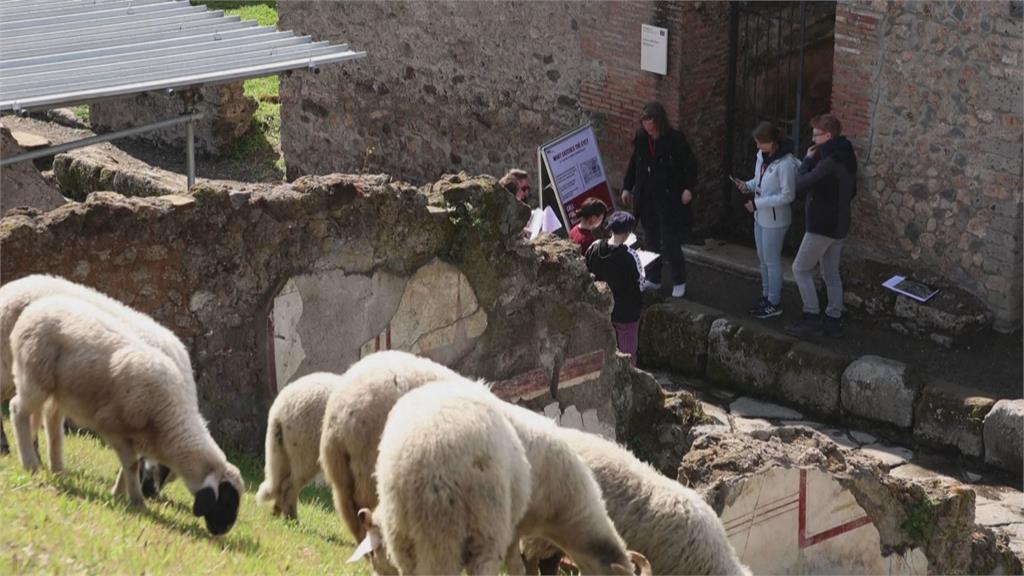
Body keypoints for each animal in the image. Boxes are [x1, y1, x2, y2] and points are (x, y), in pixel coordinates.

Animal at [9, 295, 243, 532]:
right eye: (226, 498)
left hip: (60, 389)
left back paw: (57, 469)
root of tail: (38, 305)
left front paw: (119, 494)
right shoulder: (113, 428)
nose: (223, 530)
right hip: (35, 375)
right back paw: (30, 463)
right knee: (18, 410)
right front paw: (136, 500)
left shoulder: (139, 438)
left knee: (52, 422)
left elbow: (130, 465)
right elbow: (131, 465)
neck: (171, 418)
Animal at [254, 368, 339, 518]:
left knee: (281, 480)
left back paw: (277, 511)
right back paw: (291, 517)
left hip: (282, 446)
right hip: (305, 445)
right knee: (290, 483)